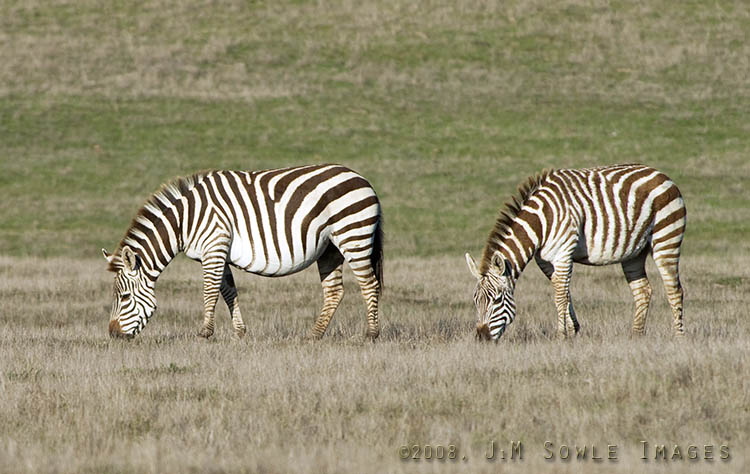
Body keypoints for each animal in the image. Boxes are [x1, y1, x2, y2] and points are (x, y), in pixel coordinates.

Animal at [102, 164, 383, 340]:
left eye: (124, 297)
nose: (114, 335)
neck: (185, 222)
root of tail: (363, 179)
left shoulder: (214, 246)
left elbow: (210, 291)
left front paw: (205, 333)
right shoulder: (218, 252)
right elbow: (228, 291)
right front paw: (240, 333)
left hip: (353, 235)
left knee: (369, 283)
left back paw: (371, 334)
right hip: (330, 248)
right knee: (335, 291)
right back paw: (313, 336)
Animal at [465, 164, 686, 341]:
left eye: (496, 300)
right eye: (475, 301)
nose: (482, 338)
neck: (540, 224)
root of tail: (660, 174)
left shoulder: (563, 253)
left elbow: (560, 296)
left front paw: (561, 336)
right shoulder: (545, 261)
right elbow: (563, 292)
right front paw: (573, 331)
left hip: (666, 237)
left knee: (674, 290)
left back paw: (678, 337)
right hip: (633, 253)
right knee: (643, 291)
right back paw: (635, 336)